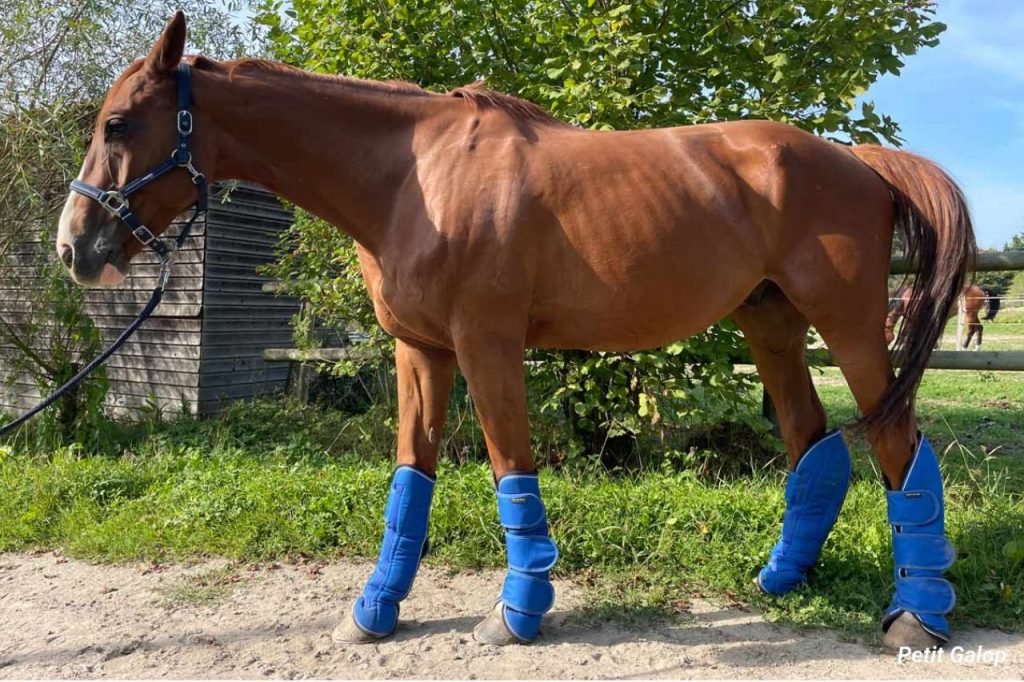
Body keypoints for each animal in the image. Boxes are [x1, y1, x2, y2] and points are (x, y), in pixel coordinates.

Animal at [56, 13, 974, 651]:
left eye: (117, 124)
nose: (74, 246)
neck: (414, 178)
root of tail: (859, 160)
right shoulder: (421, 351)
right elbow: (410, 480)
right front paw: (374, 610)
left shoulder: (486, 346)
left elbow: (510, 471)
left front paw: (517, 613)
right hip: (773, 325)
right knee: (813, 446)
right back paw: (783, 580)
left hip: (850, 331)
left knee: (897, 446)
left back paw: (919, 616)